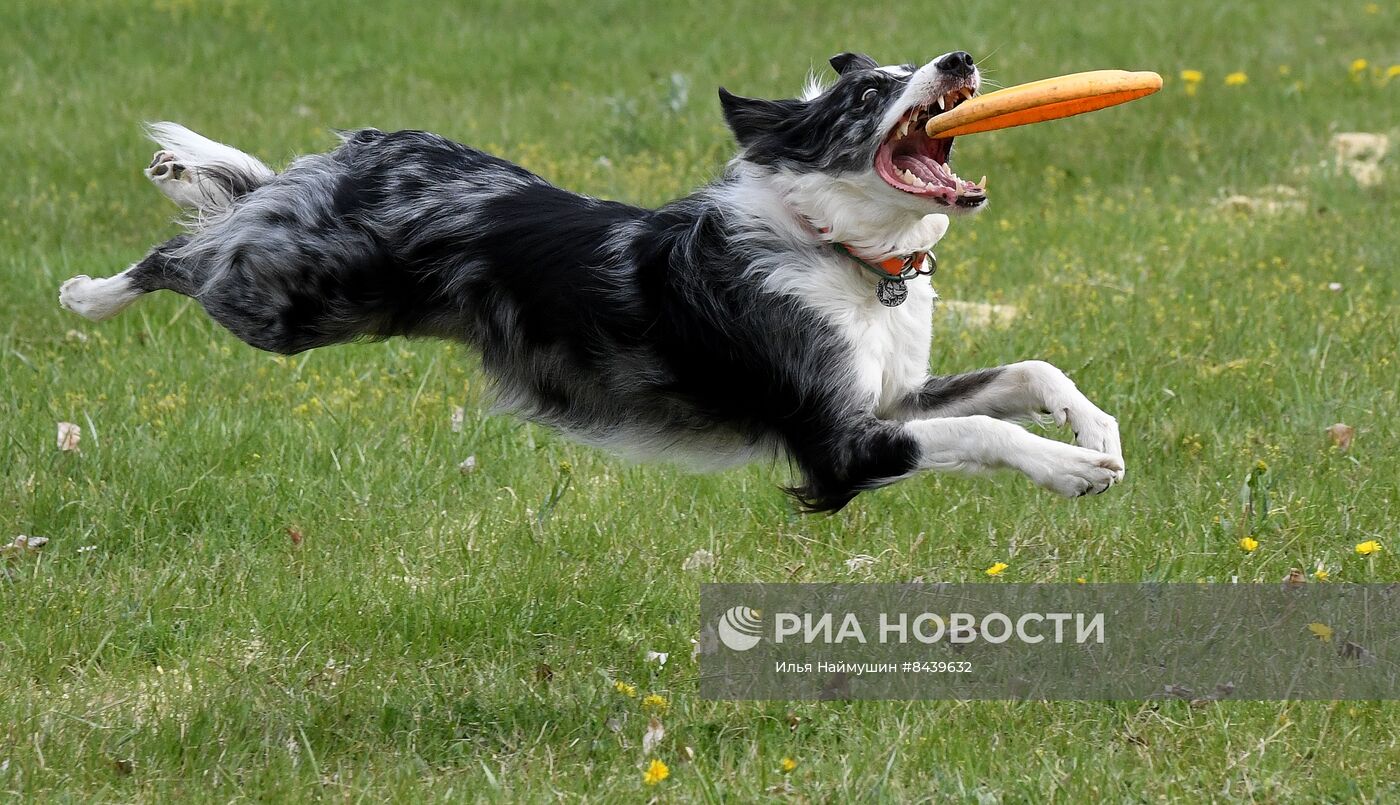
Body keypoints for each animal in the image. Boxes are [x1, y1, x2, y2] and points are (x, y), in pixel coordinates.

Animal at [60, 50, 1120, 509]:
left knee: (244, 201)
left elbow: (1027, 372)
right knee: (187, 252)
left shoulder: (892, 397)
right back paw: (94, 282)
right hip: (286, 303)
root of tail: (373, 149)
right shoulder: (837, 444)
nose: (959, 55)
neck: (848, 258)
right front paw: (1067, 468)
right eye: (870, 91)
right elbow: (987, 430)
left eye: (914, 61)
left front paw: (1094, 431)